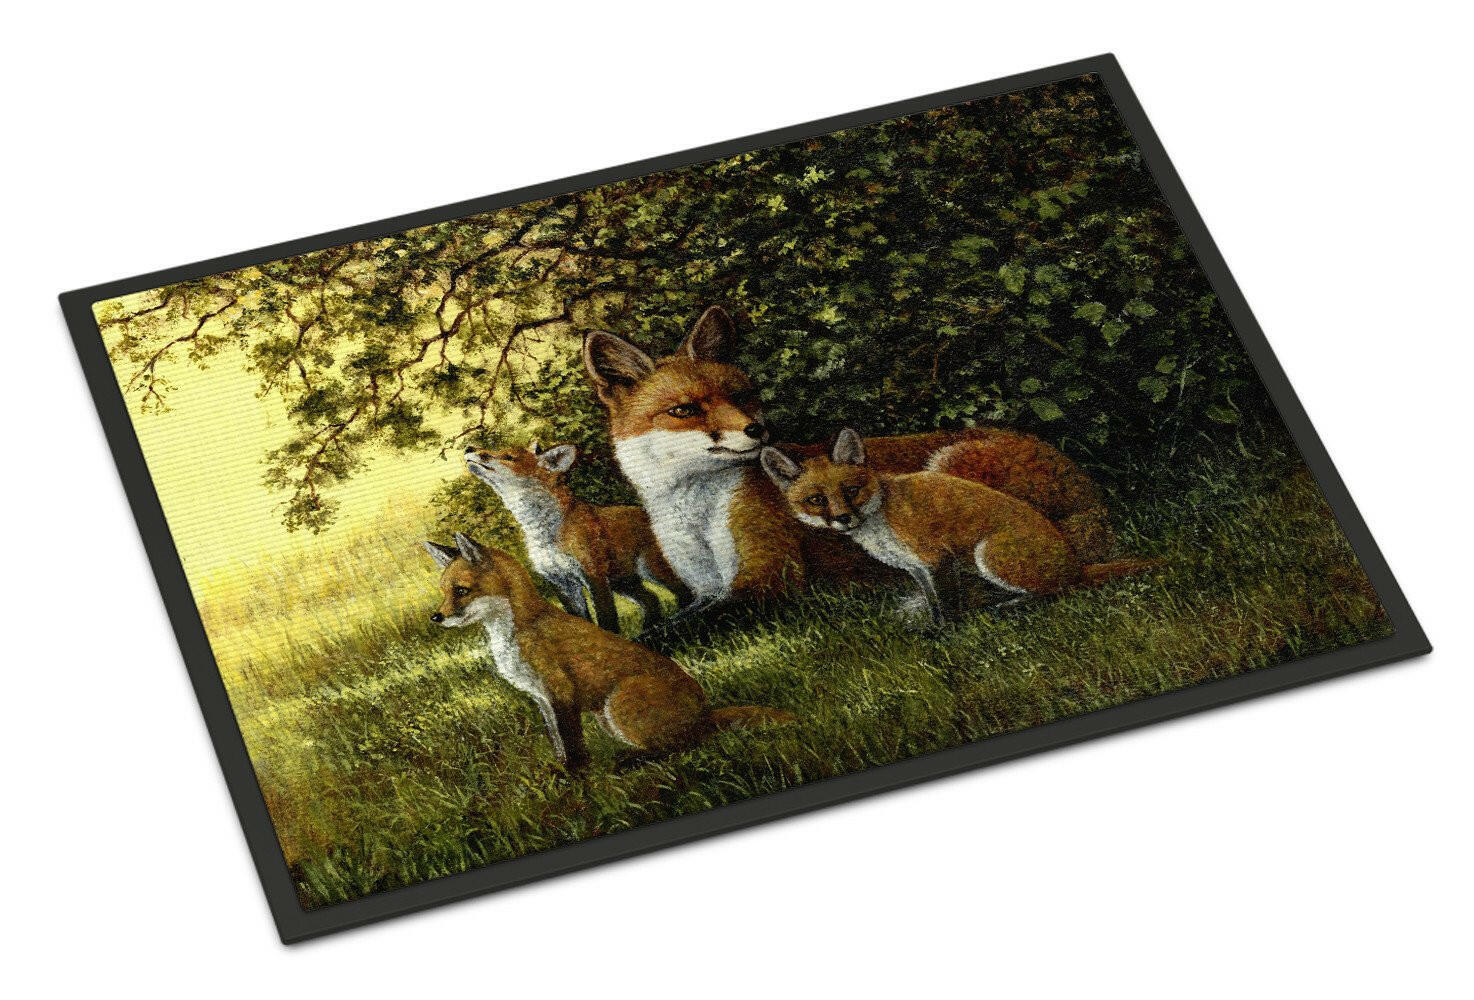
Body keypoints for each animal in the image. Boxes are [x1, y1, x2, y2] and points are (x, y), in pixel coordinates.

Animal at [424, 533, 793, 769]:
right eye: (443, 592)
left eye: (461, 591)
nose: (436, 617)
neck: (516, 634)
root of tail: (705, 712)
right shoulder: (542, 698)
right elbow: (558, 743)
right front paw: (560, 771)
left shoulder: (560, 692)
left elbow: (573, 744)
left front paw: (576, 779)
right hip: (607, 718)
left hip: (618, 707)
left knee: (684, 746)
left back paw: (631, 761)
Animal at [464, 440, 692, 633]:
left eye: (508, 457)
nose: (468, 448)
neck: (545, 534)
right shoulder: (562, 582)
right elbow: (581, 620)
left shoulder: (592, 574)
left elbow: (606, 619)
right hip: (623, 583)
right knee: (651, 599)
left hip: (651, 570)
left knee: (685, 591)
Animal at [582, 304, 1115, 610]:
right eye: (684, 410)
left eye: (743, 396)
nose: (758, 430)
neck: (696, 514)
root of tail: (1094, 497)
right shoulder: (705, 590)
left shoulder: (769, 581)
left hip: (951, 475)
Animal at [761, 428, 1160, 624]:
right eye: (816, 499)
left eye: (850, 491)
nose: (845, 519)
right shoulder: (917, 567)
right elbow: (934, 601)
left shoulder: (936, 557)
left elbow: (947, 604)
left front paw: (946, 636)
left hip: (969, 509)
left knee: (1060, 590)